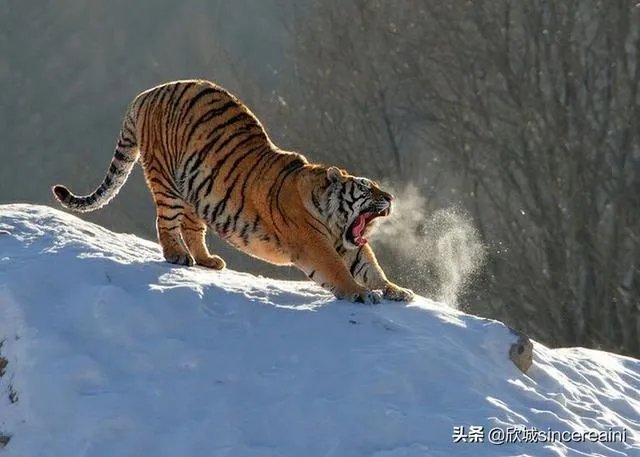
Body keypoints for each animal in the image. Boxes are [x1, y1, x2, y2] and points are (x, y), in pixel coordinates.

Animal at [52, 79, 414, 303]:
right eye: (367, 187)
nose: (391, 198)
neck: (331, 216)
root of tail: (147, 93)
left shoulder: (347, 243)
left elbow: (371, 267)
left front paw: (396, 290)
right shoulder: (314, 245)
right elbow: (339, 271)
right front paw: (360, 294)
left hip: (197, 189)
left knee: (192, 227)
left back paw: (206, 260)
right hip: (166, 179)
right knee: (165, 222)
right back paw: (177, 255)